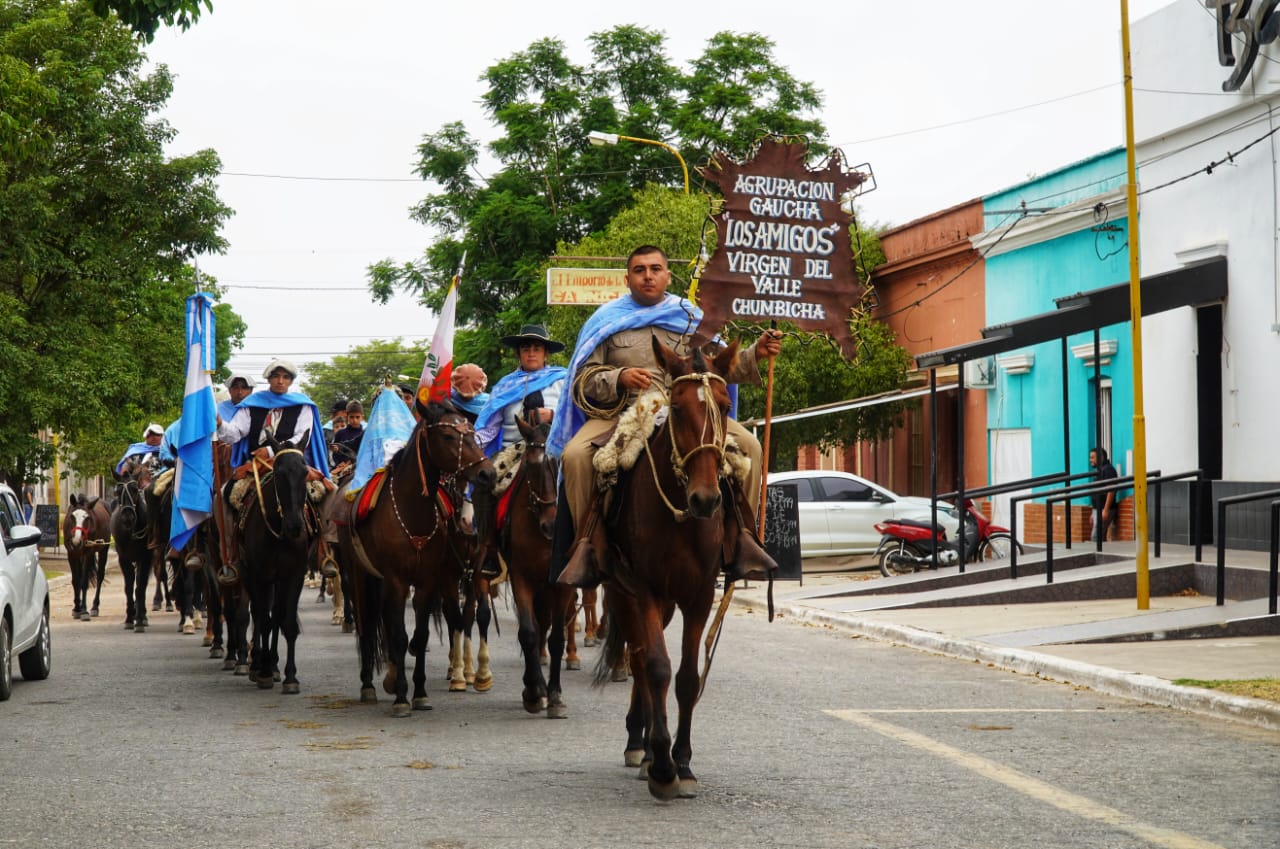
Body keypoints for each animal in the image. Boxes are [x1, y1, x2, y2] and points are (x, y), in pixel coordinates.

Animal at [110, 459, 155, 631]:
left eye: (134, 489)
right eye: (117, 490)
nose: (128, 518)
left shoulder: (146, 558)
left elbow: (140, 587)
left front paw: (140, 619)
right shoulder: (123, 559)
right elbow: (129, 587)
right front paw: (130, 617)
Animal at [236, 433, 320, 694]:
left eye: (305, 472)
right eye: (280, 473)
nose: (295, 525)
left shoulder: (293, 575)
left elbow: (286, 621)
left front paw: (290, 676)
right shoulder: (260, 575)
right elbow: (263, 620)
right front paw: (262, 671)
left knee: (275, 615)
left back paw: (272, 664)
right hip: (249, 574)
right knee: (260, 614)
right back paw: (259, 664)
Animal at [339, 399, 495, 717]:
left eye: (473, 433)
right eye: (447, 436)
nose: (487, 473)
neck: (411, 511)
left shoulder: (429, 580)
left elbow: (422, 634)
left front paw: (420, 693)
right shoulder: (400, 580)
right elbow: (400, 635)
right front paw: (401, 697)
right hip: (359, 572)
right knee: (366, 624)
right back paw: (368, 685)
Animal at [593, 337, 744, 800]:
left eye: (723, 406)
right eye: (676, 409)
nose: (706, 500)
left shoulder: (698, 596)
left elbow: (688, 678)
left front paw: (684, 762)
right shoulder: (642, 590)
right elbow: (657, 667)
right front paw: (662, 767)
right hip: (621, 594)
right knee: (640, 659)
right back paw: (639, 746)